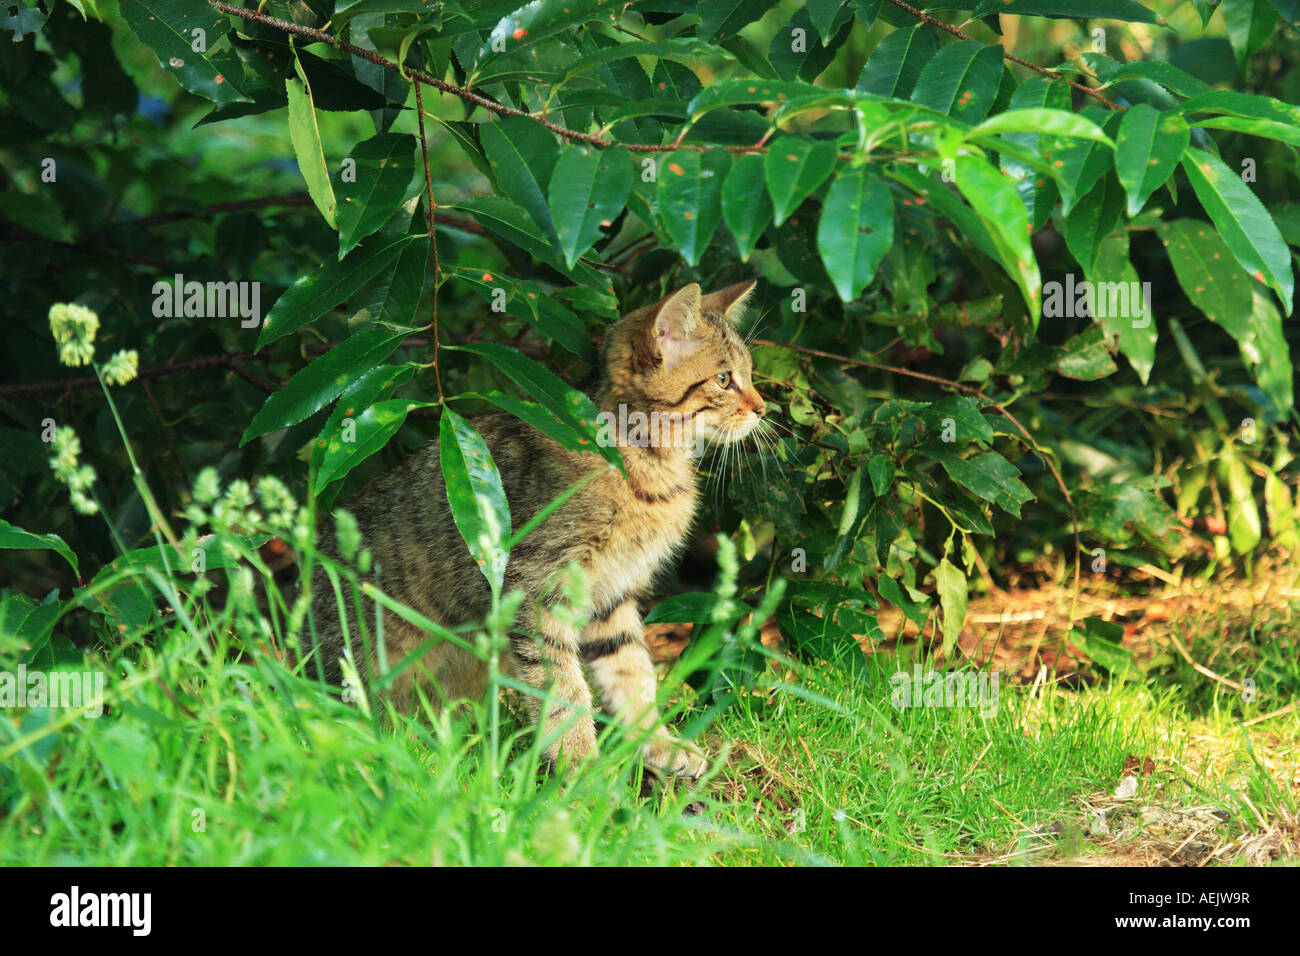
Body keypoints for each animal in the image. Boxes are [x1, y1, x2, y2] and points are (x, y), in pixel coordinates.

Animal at [310, 280, 764, 775]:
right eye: (724, 379)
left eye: (750, 374)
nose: (763, 408)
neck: (649, 467)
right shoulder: (537, 588)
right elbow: (562, 689)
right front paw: (580, 766)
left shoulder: (611, 597)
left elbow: (632, 673)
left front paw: (657, 743)